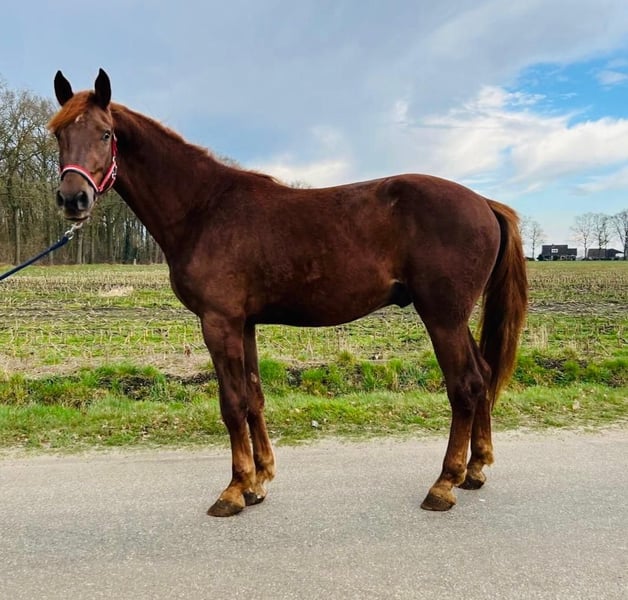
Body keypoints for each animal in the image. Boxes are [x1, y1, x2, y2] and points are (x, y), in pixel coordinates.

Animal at [50, 69, 528, 517]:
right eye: (58, 134)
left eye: (105, 133)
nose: (73, 200)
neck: (204, 209)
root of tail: (485, 203)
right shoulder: (243, 325)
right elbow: (254, 398)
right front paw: (258, 482)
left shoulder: (218, 323)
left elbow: (232, 404)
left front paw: (233, 490)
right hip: (453, 318)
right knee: (483, 376)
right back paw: (475, 469)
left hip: (442, 317)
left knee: (465, 385)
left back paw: (444, 483)